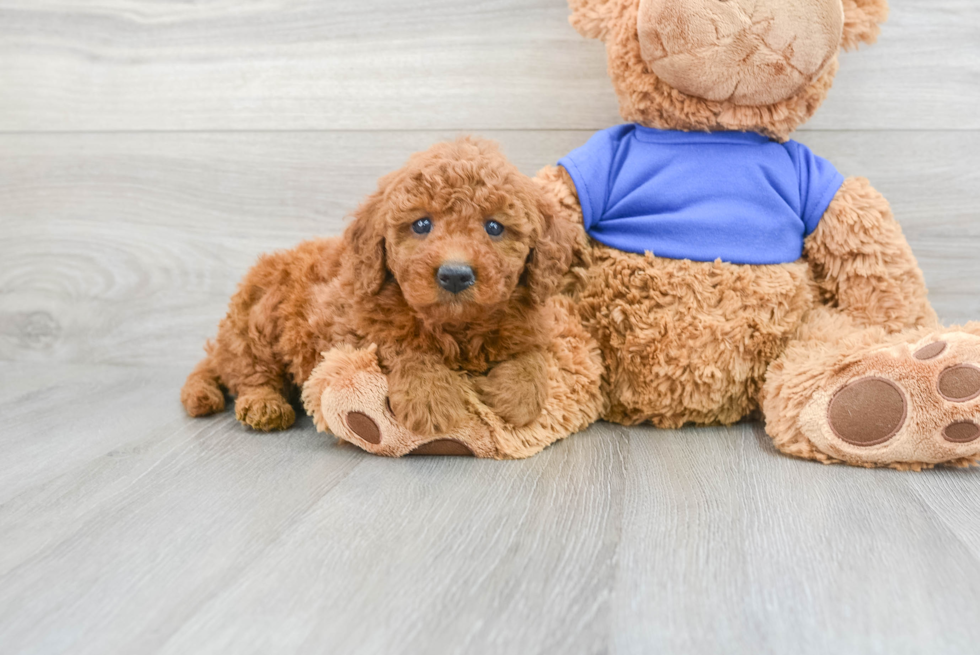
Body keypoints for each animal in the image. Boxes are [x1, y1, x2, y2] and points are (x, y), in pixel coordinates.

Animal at [181, 138, 580, 436]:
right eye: (421, 224)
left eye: (494, 227)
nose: (454, 274)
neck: (456, 326)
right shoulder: (351, 327)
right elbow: (404, 345)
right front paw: (430, 398)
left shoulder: (527, 322)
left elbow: (530, 354)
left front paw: (519, 397)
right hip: (256, 323)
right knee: (251, 371)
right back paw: (264, 405)